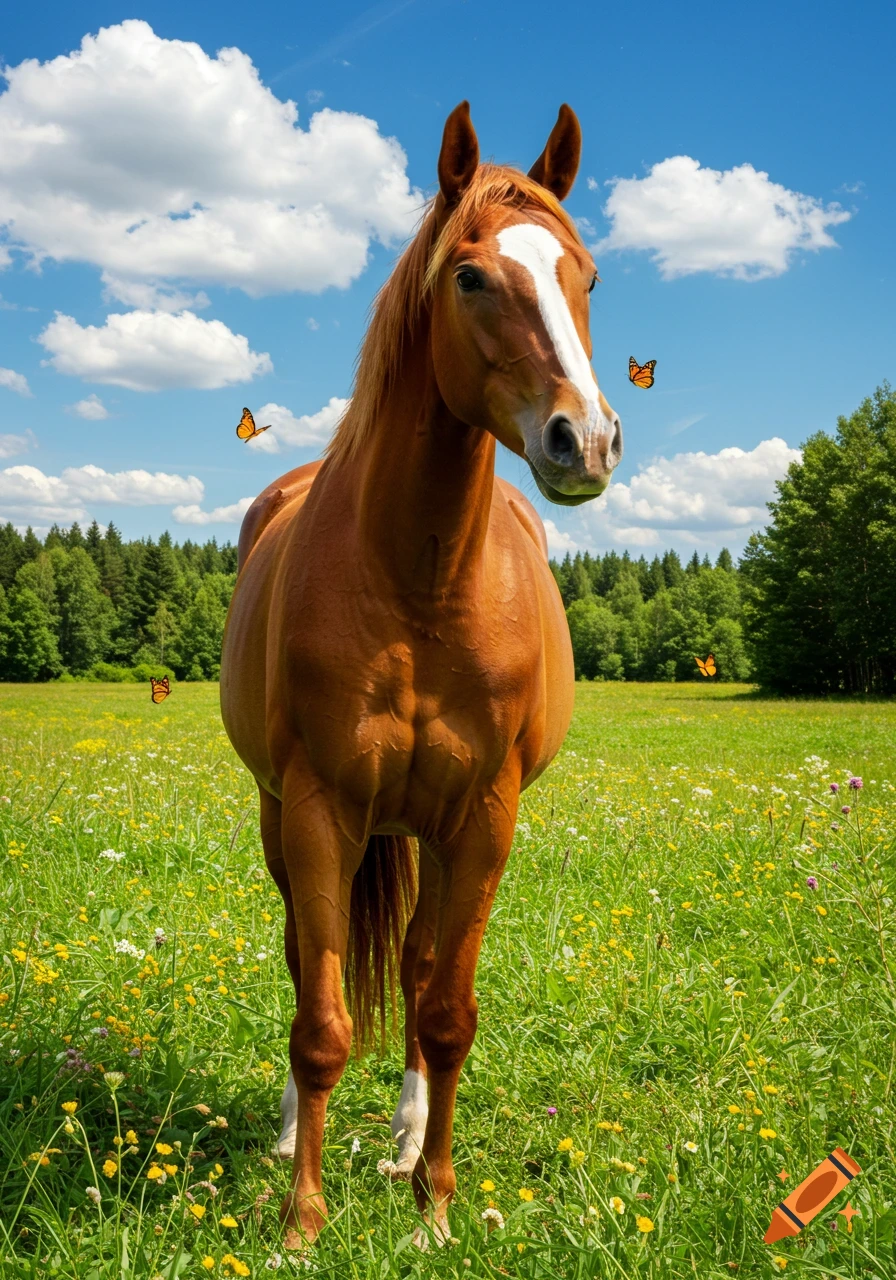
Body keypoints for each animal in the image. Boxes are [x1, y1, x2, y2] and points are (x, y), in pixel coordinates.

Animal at [219, 100, 622, 1250]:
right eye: (471, 277)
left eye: (585, 274)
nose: (585, 440)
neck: (420, 579)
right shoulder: (316, 808)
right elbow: (318, 1018)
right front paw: (301, 1221)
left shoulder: (482, 817)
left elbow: (444, 1010)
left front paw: (433, 1205)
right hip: (289, 819)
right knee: (303, 956)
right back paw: (288, 1135)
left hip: (433, 836)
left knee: (411, 963)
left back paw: (402, 1140)